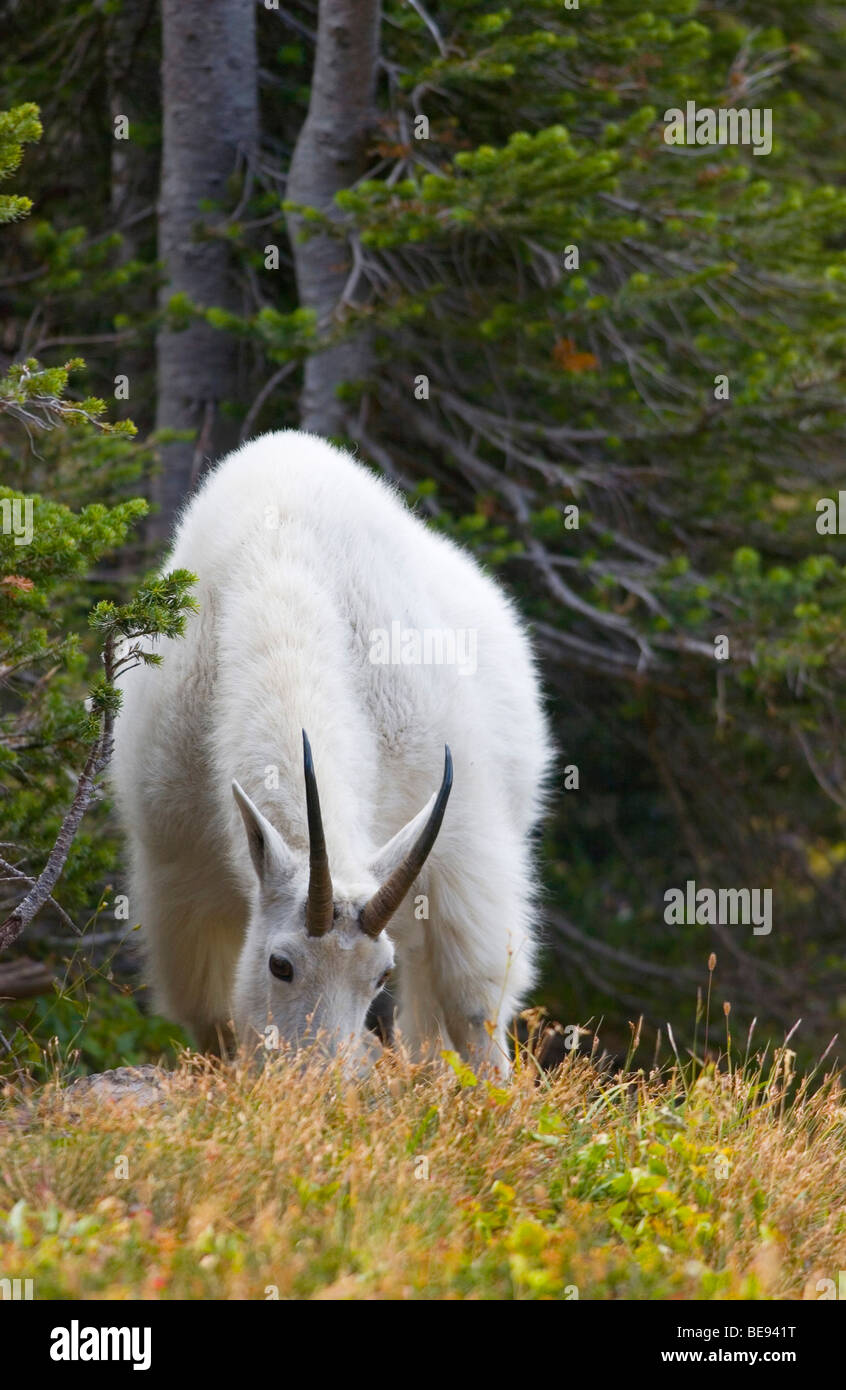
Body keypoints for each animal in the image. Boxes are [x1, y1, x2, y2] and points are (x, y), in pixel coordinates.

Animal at [109, 433, 550, 1073]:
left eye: (380, 974)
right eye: (281, 964)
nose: (322, 1080)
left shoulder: (464, 842)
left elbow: (473, 1005)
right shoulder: (178, 868)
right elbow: (214, 1019)